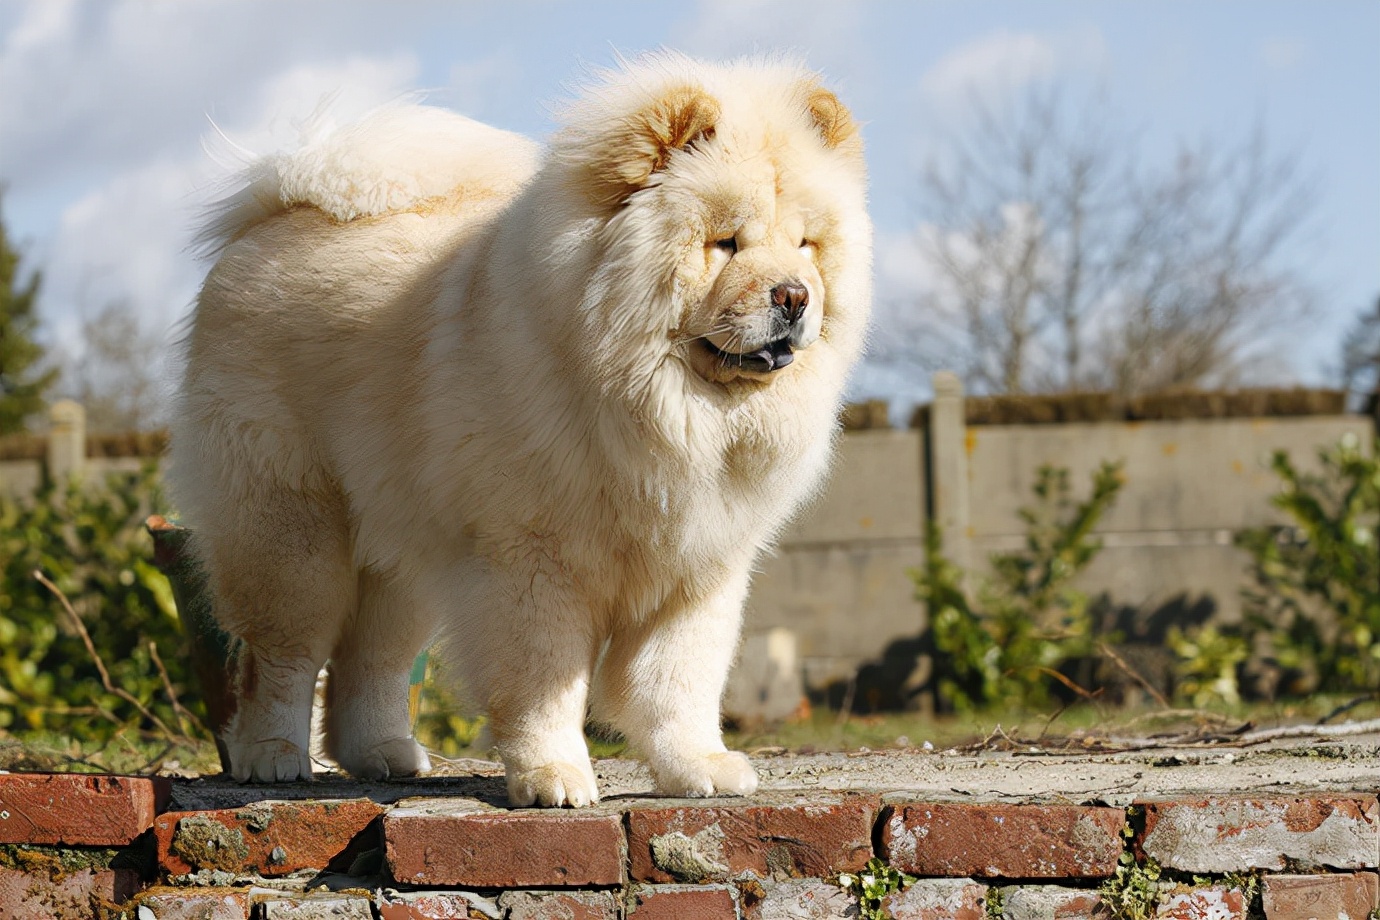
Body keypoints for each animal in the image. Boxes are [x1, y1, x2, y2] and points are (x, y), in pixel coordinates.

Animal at [169, 54, 861, 811]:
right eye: (725, 242)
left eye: (805, 243)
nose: (794, 295)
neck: (660, 404)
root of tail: (272, 217)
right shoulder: (531, 560)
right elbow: (543, 684)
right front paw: (553, 778)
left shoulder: (696, 569)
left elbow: (676, 681)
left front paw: (698, 768)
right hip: (291, 528)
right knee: (283, 654)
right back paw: (271, 756)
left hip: (402, 546)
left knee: (372, 658)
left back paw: (384, 754)